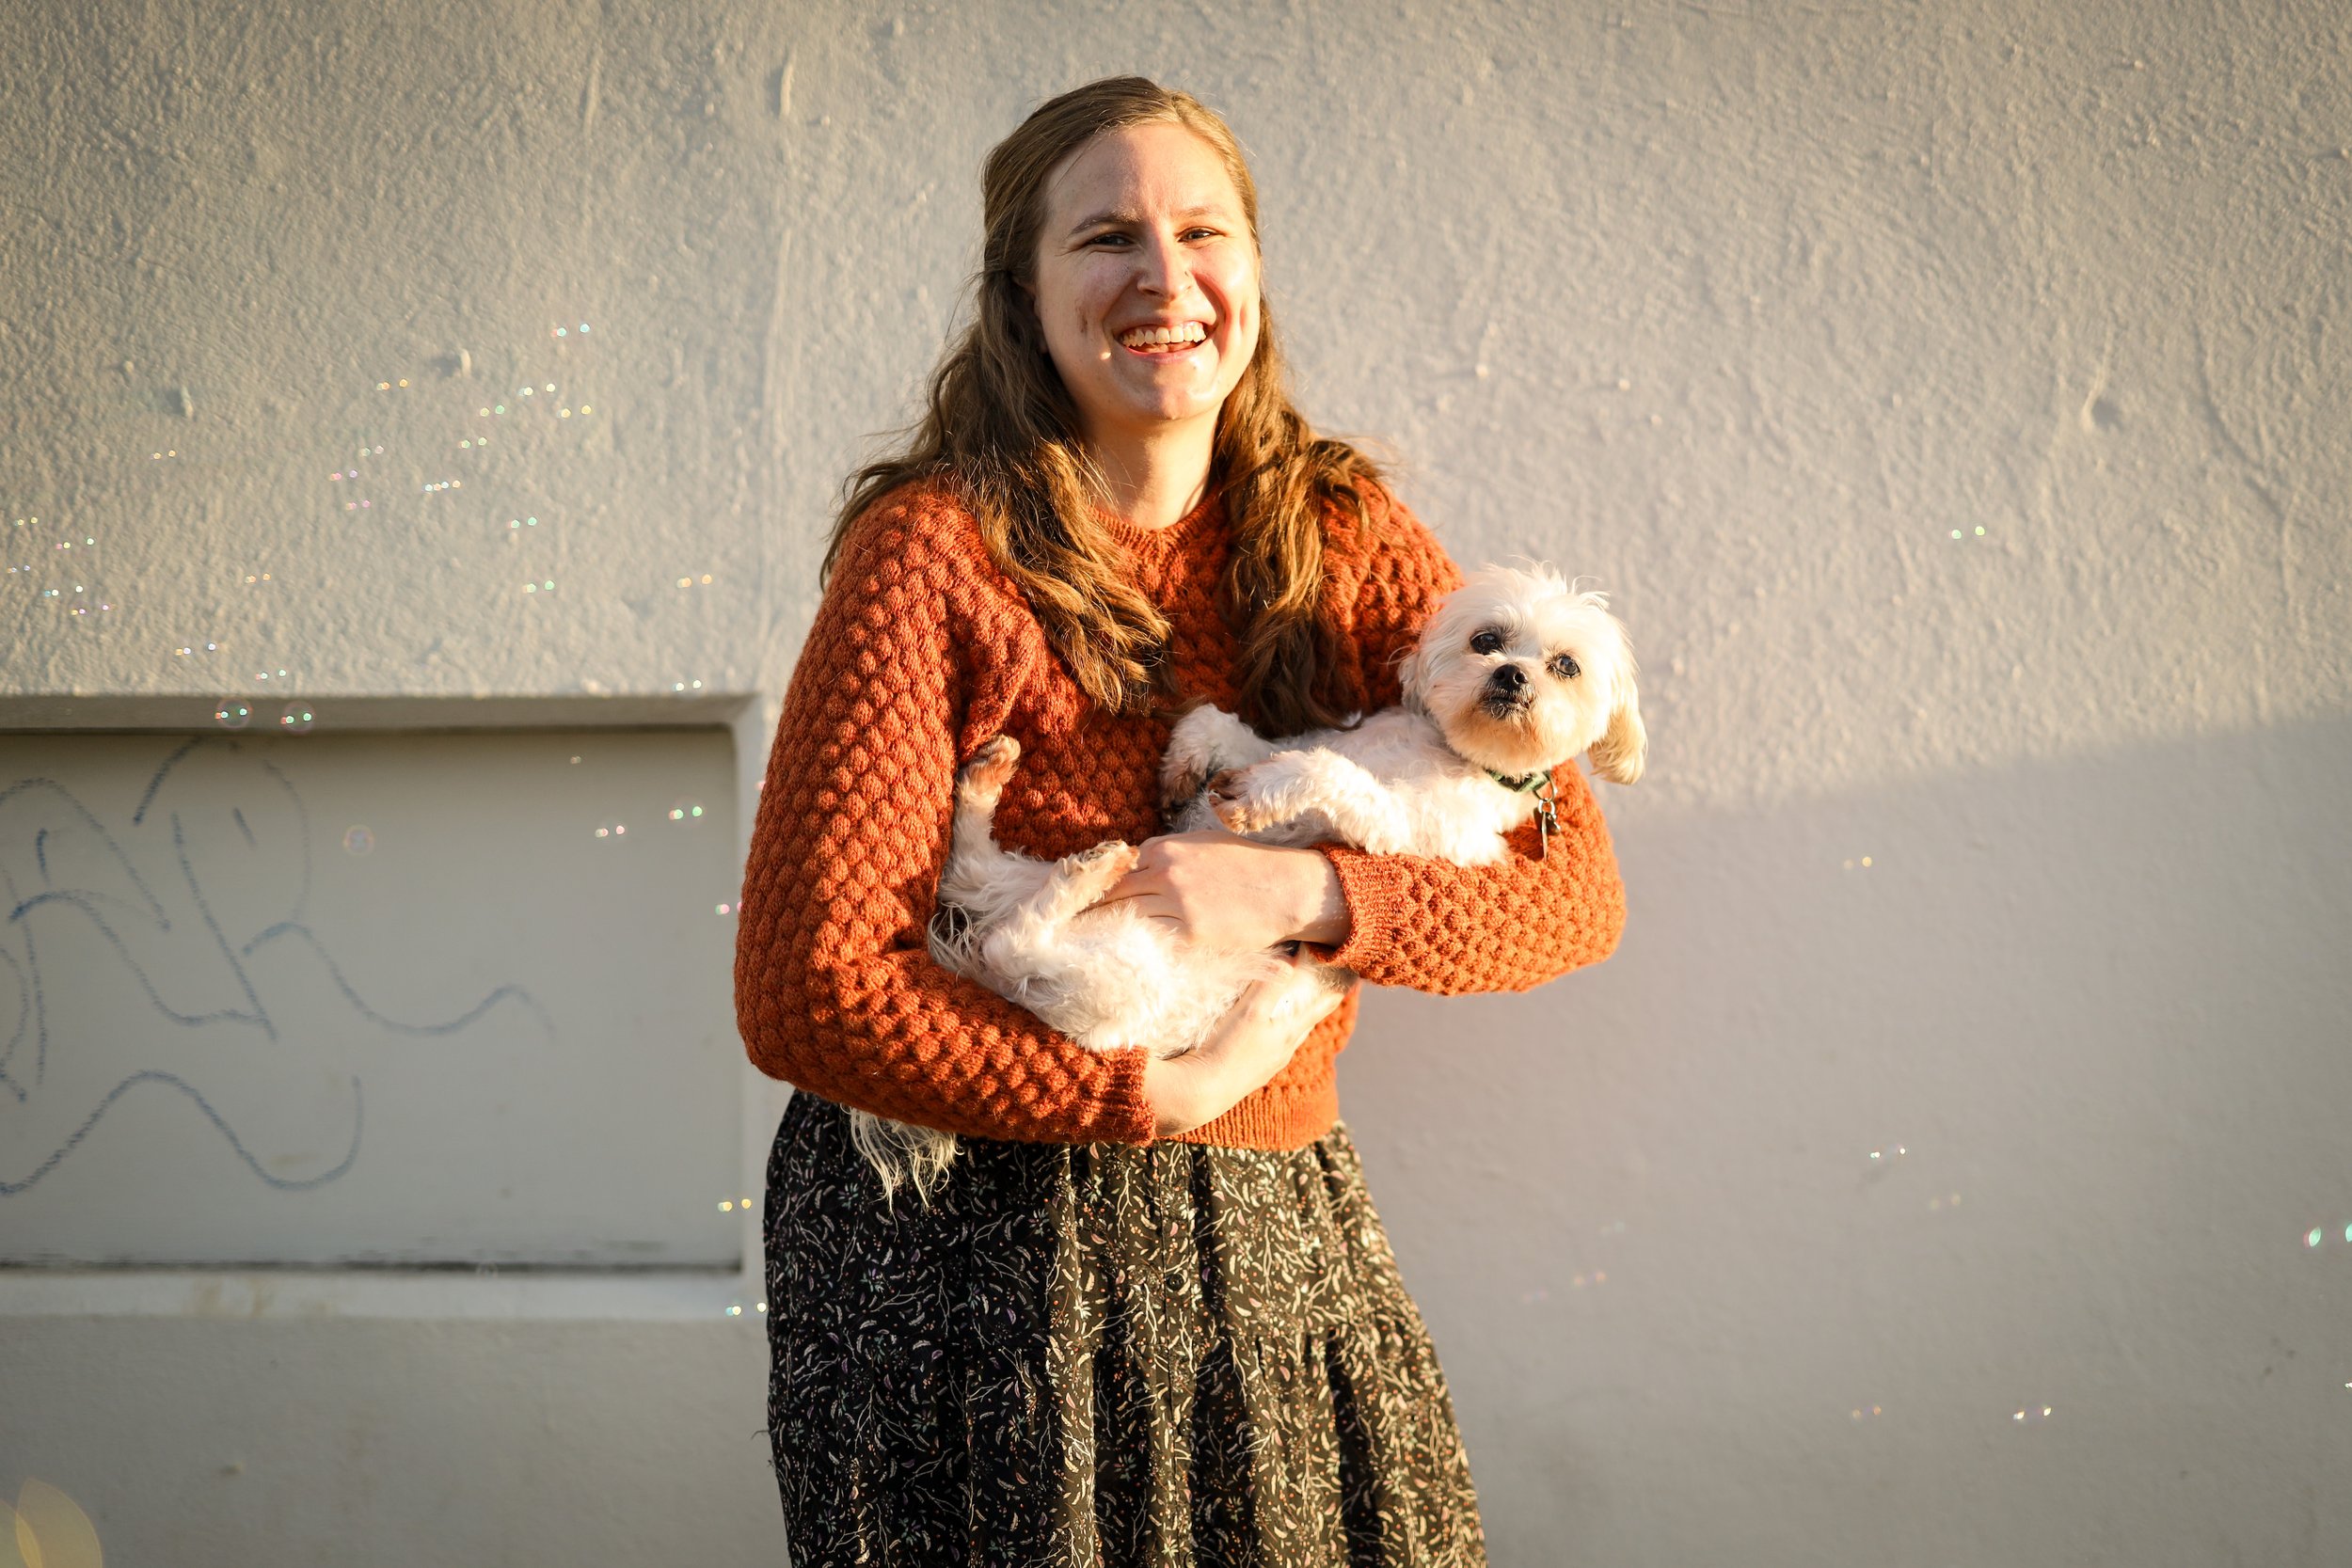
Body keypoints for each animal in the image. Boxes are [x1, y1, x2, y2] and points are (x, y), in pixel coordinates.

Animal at [849, 565, 1643, 1201]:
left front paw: (1261, 795)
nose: (1512, 675)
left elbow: (1325, 771)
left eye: (1564, 665)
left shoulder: (1405, 833)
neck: (1442, 751)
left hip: (1118, 980)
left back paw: (1086, 868)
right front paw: (1186, 770)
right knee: (972, 871)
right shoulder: (1294, 741)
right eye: (1487, 638)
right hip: (1045, 900)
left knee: (1011, 936)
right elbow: (1223, 726)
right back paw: (1000, 787)